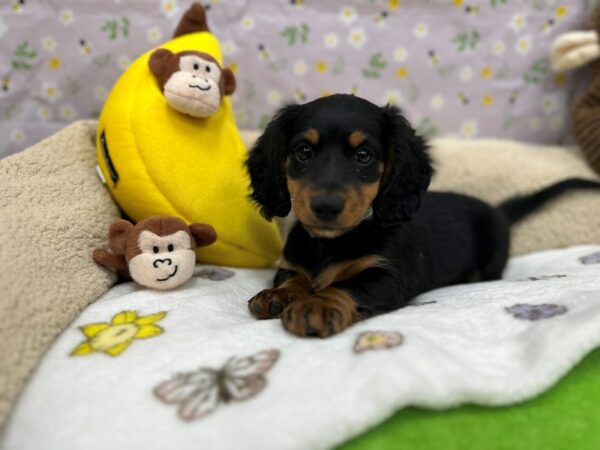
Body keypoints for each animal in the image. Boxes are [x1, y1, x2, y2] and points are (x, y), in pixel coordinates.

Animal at [245, 93, 600, 338]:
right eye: (303, 152)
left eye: (364, 155)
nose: (326, 206)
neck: (330, 243)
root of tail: (497, 209)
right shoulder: (292, 263)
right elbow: (293, 277)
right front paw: (279, 295)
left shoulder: (388, 276)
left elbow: (347, 286)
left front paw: (317, 305)